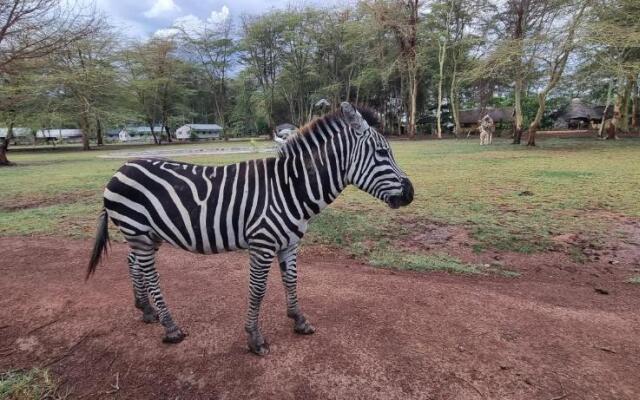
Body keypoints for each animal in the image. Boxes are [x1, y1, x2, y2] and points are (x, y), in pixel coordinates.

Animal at [86, 102, 416, 356]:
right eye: (383, 153)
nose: (411, 193)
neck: (290, 188)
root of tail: (120, 169)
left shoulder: (290, 243)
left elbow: (292, 281)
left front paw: (299, 321)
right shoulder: (262, 244)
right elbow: (258, 290)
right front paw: (255, 339)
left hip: (145, 235)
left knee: (132, 263)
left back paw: (146, 310)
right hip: (140, 233)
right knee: (150, 275)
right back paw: (170, 327)